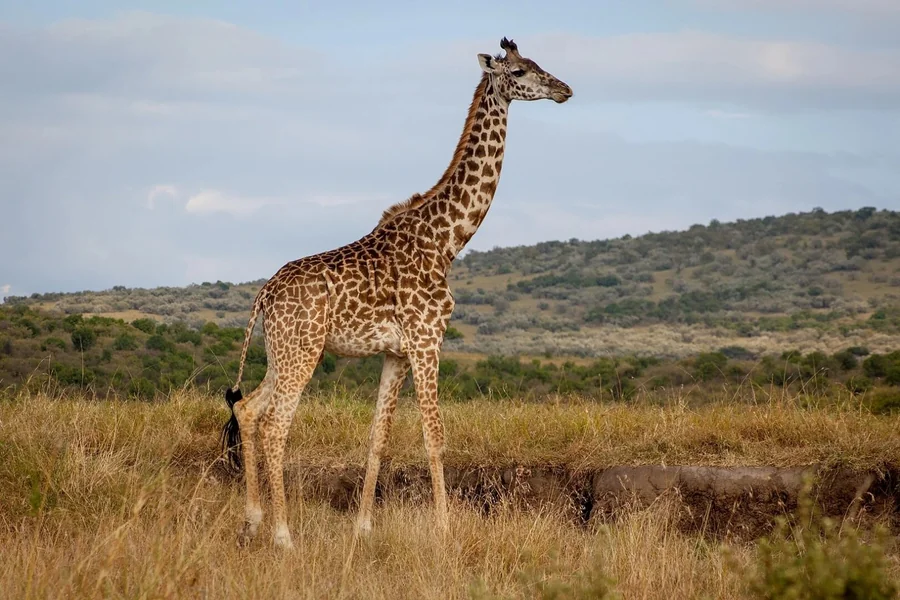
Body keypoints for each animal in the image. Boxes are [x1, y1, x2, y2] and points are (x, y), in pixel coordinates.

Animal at [220, 36, 572, 549]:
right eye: (522, 71)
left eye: (538, 64)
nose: (565, 89)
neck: (448, 241)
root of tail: (263, 296)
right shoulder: (428, 341)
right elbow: (434, 436)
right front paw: (445, 529)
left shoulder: (396, 352)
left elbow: (378, 437)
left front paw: (363, 527)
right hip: (302, 351)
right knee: (274, 426)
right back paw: (283, 535)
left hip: (282, 351)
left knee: (247, 411)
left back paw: (252, 520)